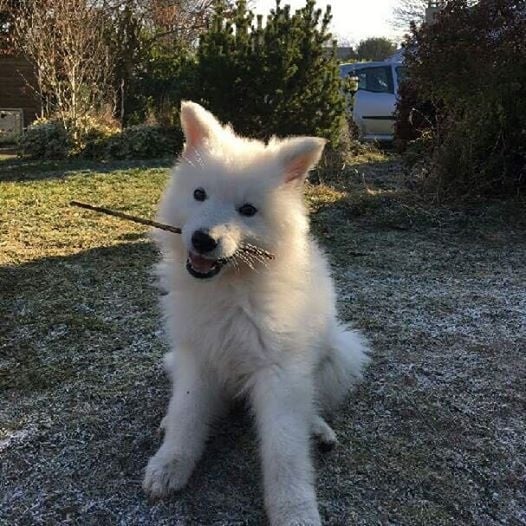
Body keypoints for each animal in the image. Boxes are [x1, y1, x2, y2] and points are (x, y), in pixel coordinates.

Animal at [144, 101, 372, 524]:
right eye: (199, 194)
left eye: (247, 210)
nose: (203, 239)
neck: (230, 288)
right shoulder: (197, 357)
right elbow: (187, 414)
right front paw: (169, 466)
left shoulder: (279, 373)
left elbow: (285, 452)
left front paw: (295, 511)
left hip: (340, 352)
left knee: (309, 406)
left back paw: (317, 428)